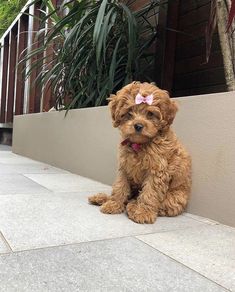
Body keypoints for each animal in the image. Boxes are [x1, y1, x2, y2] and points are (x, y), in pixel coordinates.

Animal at [88, 82, 191, 224]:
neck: (140, 144)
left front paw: (143, 212)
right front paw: (113, 204)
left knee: (161, 206)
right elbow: (120, 186)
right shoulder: (124, 167)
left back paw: (133, 206)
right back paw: (102, 198)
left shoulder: (157, 171)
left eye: (150, 114)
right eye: (129, 113)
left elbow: (150, 192)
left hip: (175, 198)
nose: (138, 125)